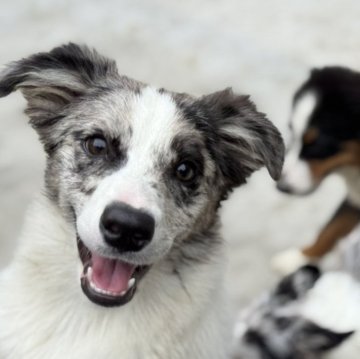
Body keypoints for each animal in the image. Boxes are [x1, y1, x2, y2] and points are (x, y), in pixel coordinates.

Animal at [272, 67, 360, 274]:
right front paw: (298, 259)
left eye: (318, 144)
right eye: (292, 134)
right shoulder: (353, 199)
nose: (282, 187)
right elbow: (331, 228)